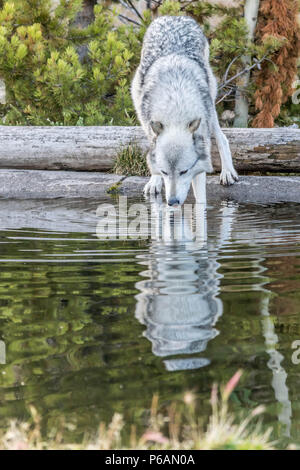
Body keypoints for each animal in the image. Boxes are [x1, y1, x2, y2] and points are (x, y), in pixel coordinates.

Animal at [131, 16, 239, 206]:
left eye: (184, 171)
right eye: (165, 172)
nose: (173, 201)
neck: (175, 111)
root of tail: (173, 17)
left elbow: (200, 202)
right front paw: (157, 182)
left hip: (211, 103)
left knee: (222, 137)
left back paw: (227, 172)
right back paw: (154, 183)